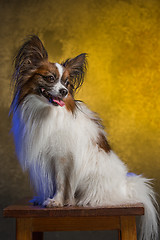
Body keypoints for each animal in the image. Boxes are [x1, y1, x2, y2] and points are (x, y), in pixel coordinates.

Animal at [10, 35, 159, 240]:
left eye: (67, 83)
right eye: (50, 78)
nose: (64, 92)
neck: (47, 111)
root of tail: (126, 187)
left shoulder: (62, 158)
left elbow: (60, 182)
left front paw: (57, 201)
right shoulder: (45, 158)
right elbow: (49, 181)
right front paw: (43, 198)